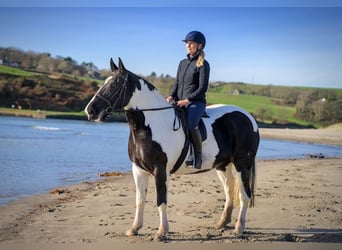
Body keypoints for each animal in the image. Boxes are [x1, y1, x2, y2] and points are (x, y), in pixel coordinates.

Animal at [85, 57, 260, 239]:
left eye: (114, 84)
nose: (90, 111)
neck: (149, 126)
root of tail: (249, 117)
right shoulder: (138, 170)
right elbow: (140, 200)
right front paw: (134, 228)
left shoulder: (160, 169)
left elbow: (161, 200)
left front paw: (162, 231)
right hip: (222, 166)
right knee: (229, 192)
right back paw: (222, 223)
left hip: (242, 164)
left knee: (244, 195)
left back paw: (239, 228)